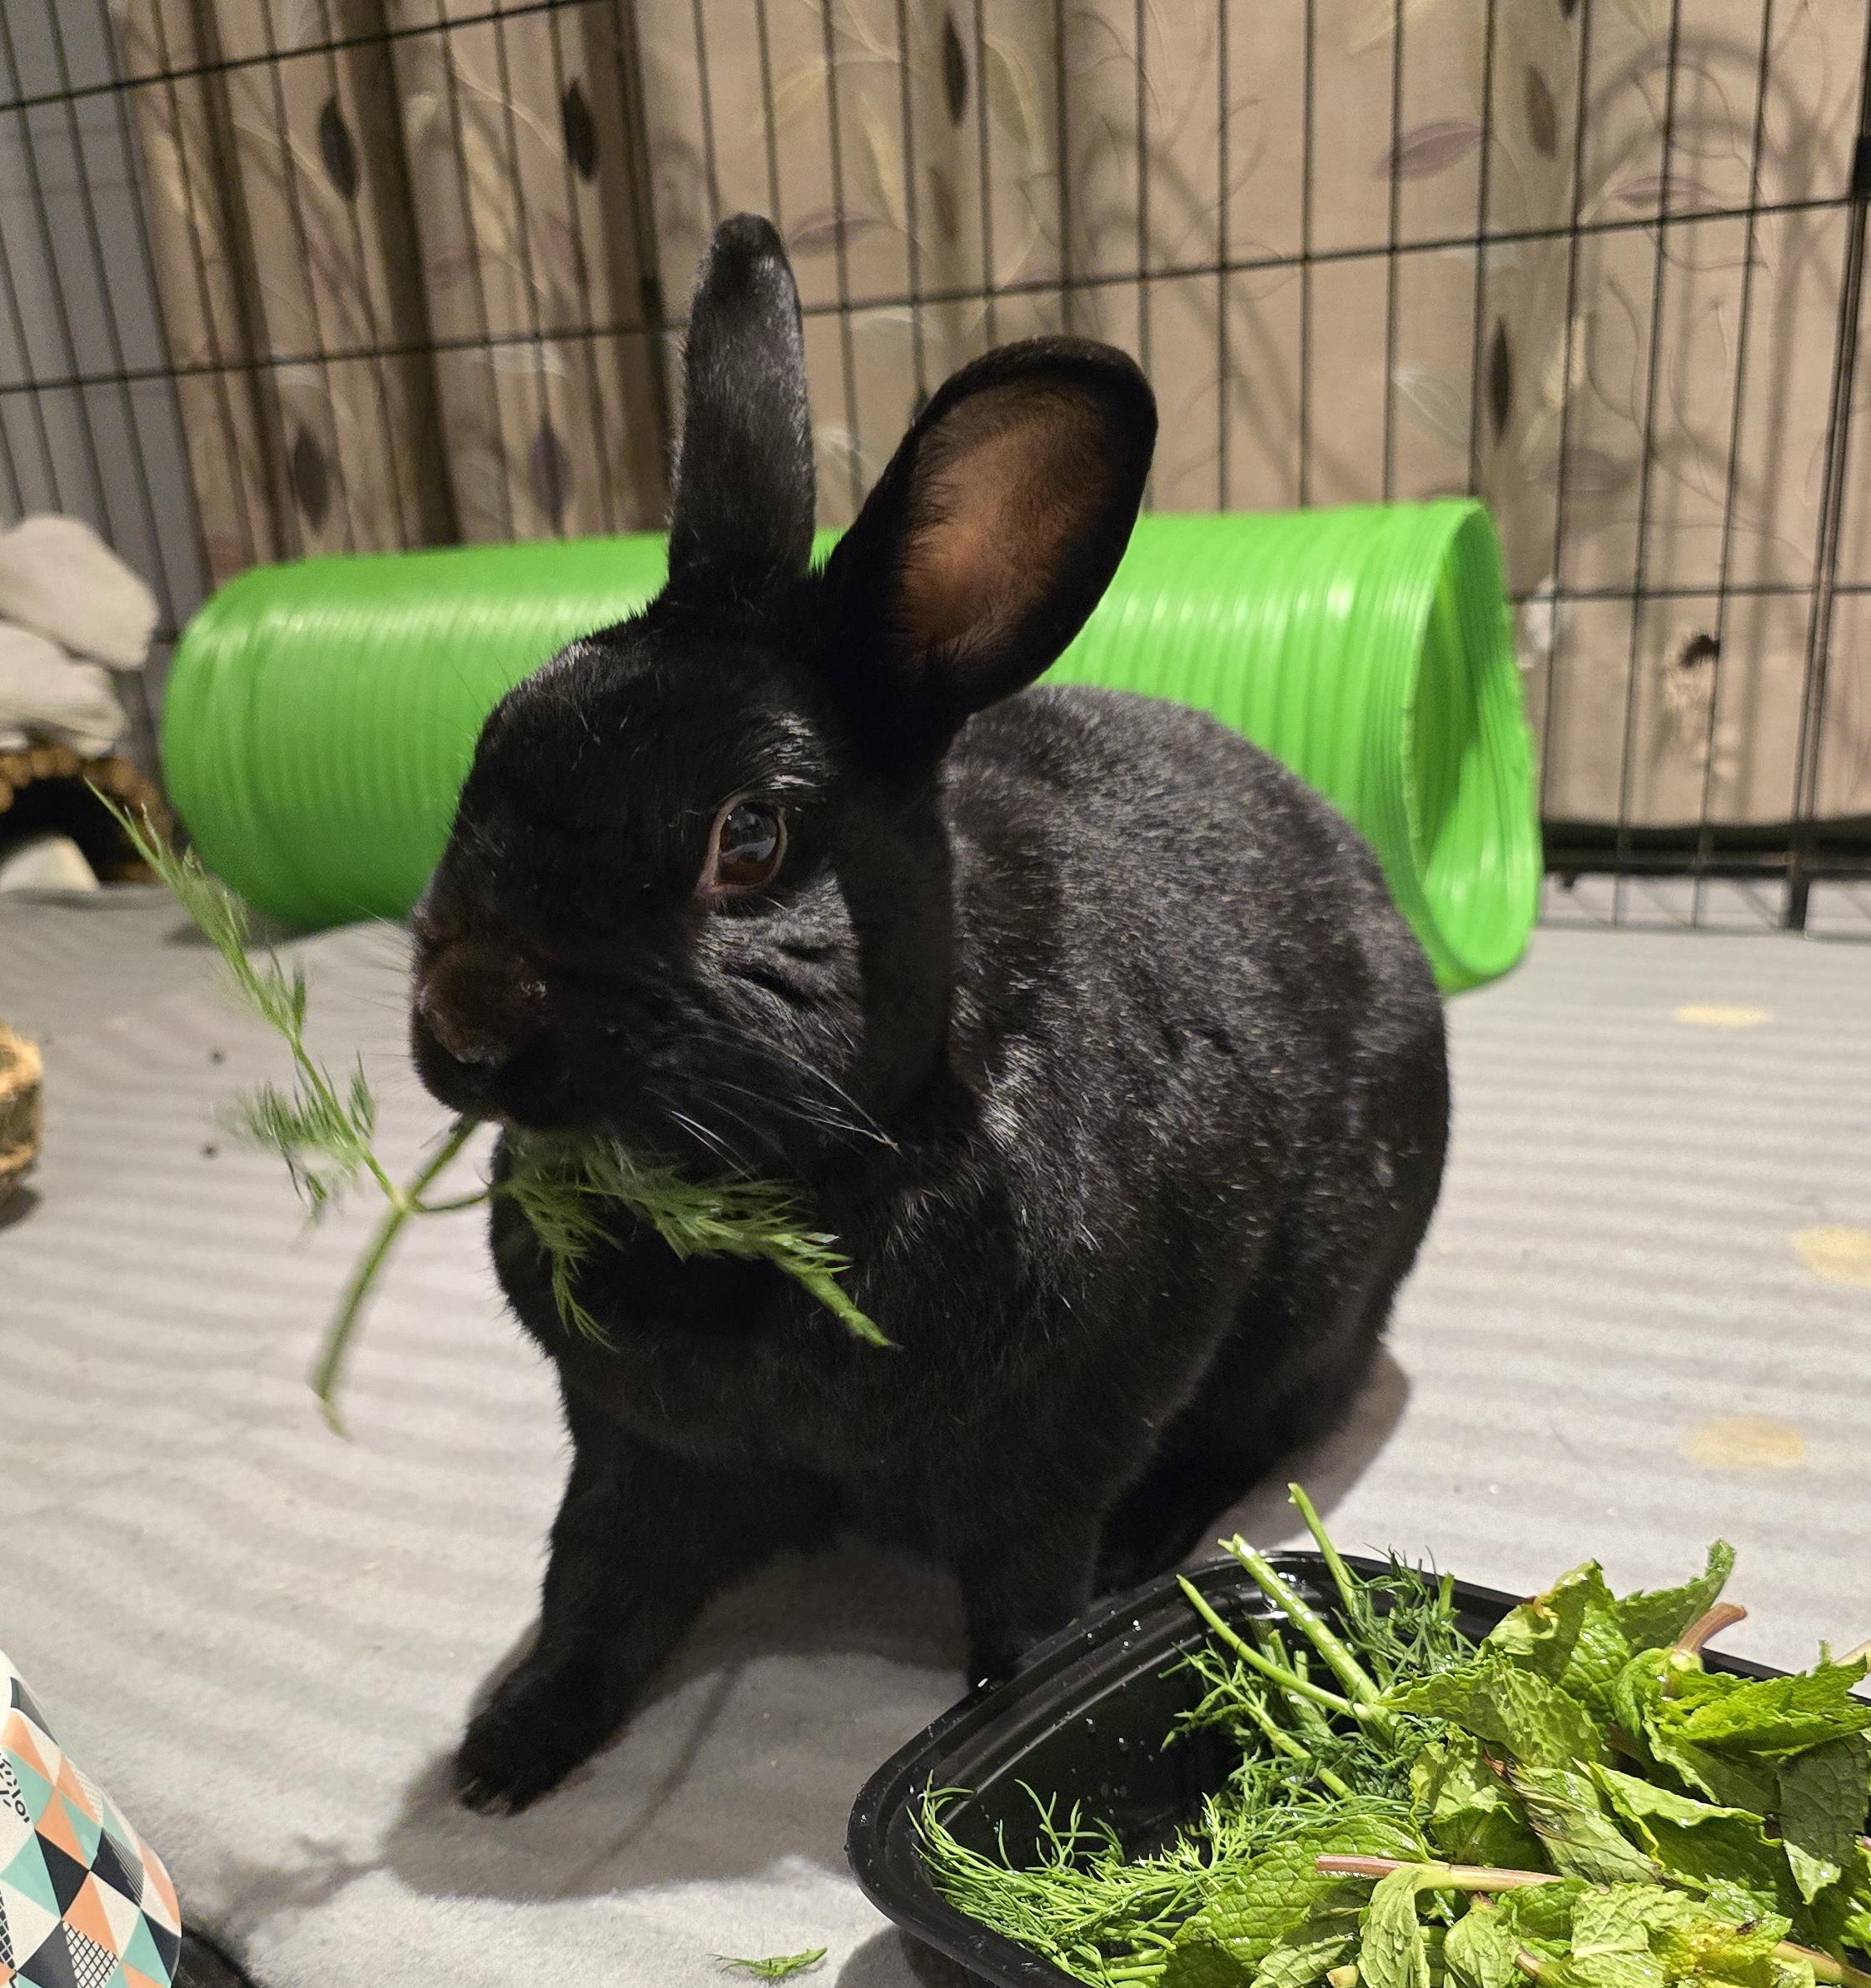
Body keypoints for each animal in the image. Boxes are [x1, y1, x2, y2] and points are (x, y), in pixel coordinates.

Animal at [409, 214, 1450, 1814]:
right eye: (486, 753)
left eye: (750, 840)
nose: (466, 1019)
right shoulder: (630, 1450)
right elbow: (590, 1585)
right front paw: (506, 1757)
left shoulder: (1049, 1464)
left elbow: (1022, 1614)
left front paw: (994, 1748)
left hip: (1325, 1299)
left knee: (1280, 1416)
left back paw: (1159, 1532)